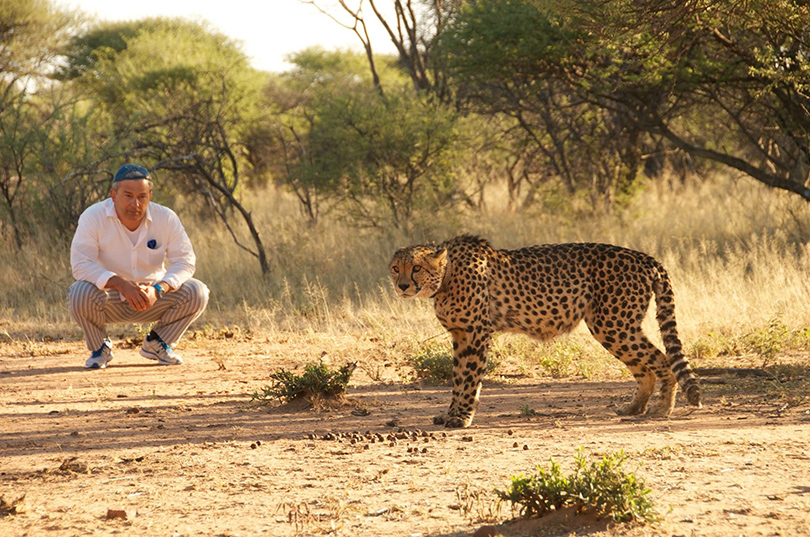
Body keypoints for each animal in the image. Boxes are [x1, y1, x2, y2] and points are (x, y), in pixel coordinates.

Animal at [388, 234, 696, 428]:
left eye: (416, 268)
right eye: (395, 268)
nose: (402, 286)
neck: (447, 274)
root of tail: (643, 257)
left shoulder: (475, 333)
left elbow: (469, 379)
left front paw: (462, 417)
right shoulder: (460, 335)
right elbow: (457, 378)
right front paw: (450, 413)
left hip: (614, 323)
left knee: (662, 361)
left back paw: (662, 409)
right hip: (612, 327)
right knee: (645, 368)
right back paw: (635, 408)